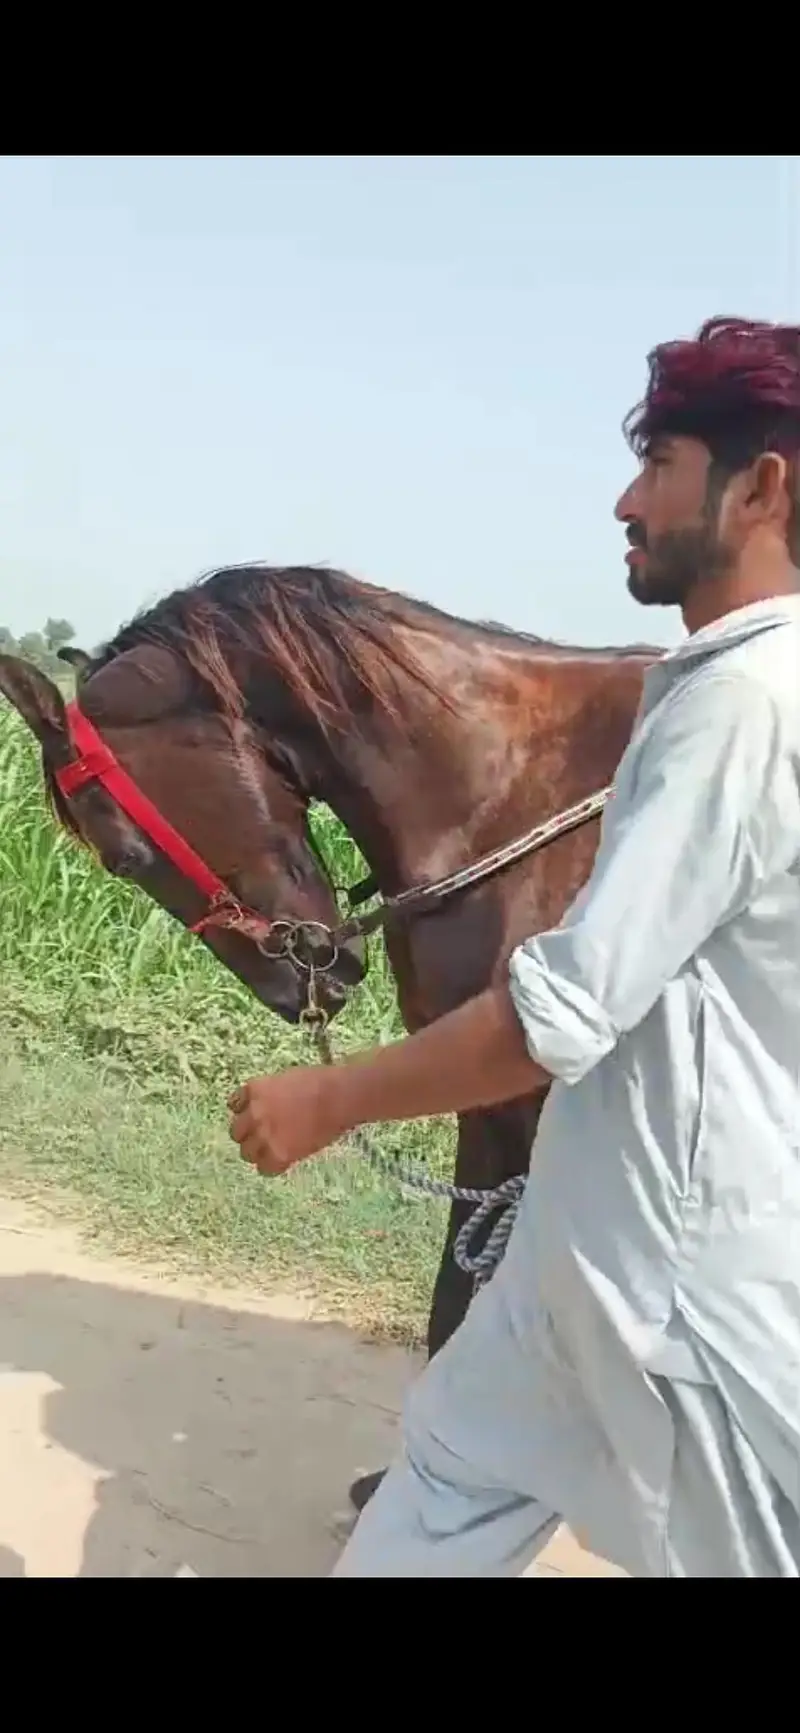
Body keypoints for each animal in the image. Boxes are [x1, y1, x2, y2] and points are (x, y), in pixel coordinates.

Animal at [0, 565, 658, 1501]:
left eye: (123, 856)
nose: (305, 980)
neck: (520, 789)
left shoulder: (539, 1111)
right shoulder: (491, 1111)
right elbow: (452, 1309)